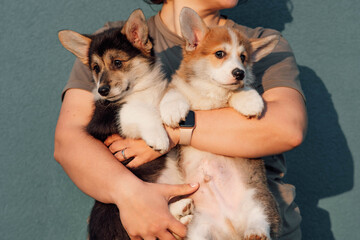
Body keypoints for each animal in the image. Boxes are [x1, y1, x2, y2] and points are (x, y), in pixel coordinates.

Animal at [160, 7, 282, 240]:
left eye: (243, 58)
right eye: (219, 54)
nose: (239, 73)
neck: (210, 90)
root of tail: (230, 228)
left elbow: (238, 92)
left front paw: (250, 100)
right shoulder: (176, 86)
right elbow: (174, 93)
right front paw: (172, 109)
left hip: (258, 198)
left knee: (260, 220)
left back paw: (256, 233)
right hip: (199, 228)